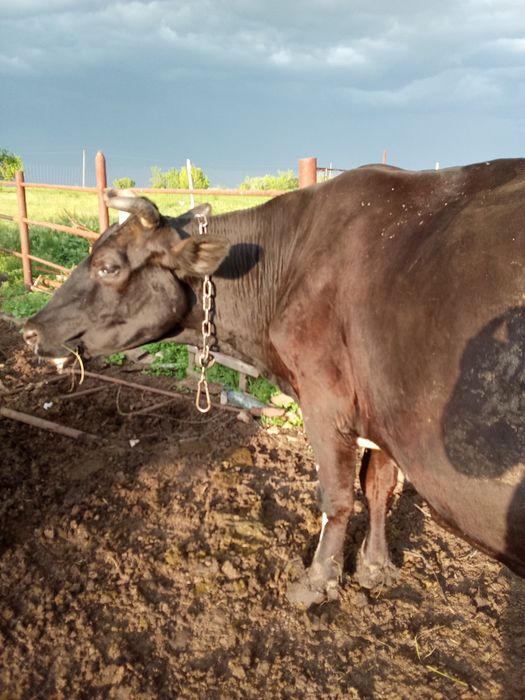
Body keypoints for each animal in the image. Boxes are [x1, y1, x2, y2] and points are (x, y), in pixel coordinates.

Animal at [23, 159, 525, 605]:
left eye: (108, 266)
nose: (30, 330)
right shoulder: (383, 411)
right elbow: (378, 487)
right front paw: (376, 567)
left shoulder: (325, 401)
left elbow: (337, 496)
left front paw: (317, 582)